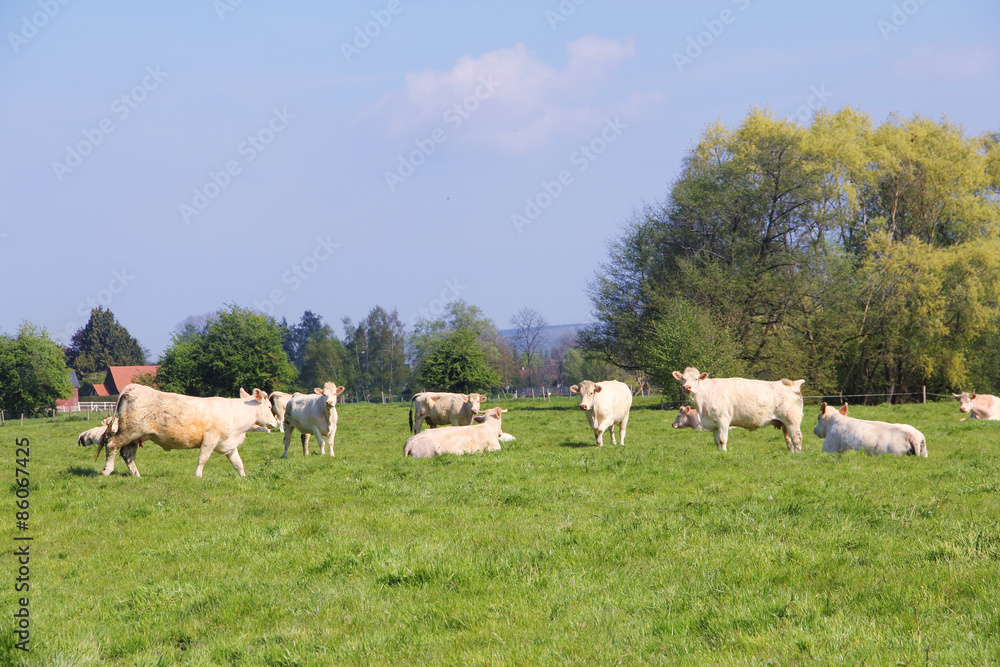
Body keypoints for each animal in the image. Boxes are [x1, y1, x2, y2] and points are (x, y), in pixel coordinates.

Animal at [96, 384, 277, 477]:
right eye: (269, 407)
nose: (275, 423)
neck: (234, 414)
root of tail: (134, 387)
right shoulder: (210, 439)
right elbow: (203, 458)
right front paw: (198, 476)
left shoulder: (229, 444)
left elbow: (238, 463)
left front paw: (244, 477)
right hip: (129, 431)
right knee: (112, 445)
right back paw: (107, 470)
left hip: (136, 435)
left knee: (128, 454)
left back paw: (137, 476)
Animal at [672, 367, 805, 452]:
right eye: (683, 378)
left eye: (696, 379)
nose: (686, 387)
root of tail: (792, 383)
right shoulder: (714, 424)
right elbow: (717, 441)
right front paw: (719, 453)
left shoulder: (723, 420)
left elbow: (722, 439)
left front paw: (724, 453)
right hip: (784, 423)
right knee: (789, 440)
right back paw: (791, 453)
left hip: (792, 421)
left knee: (796, 439)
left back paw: (797, 455)